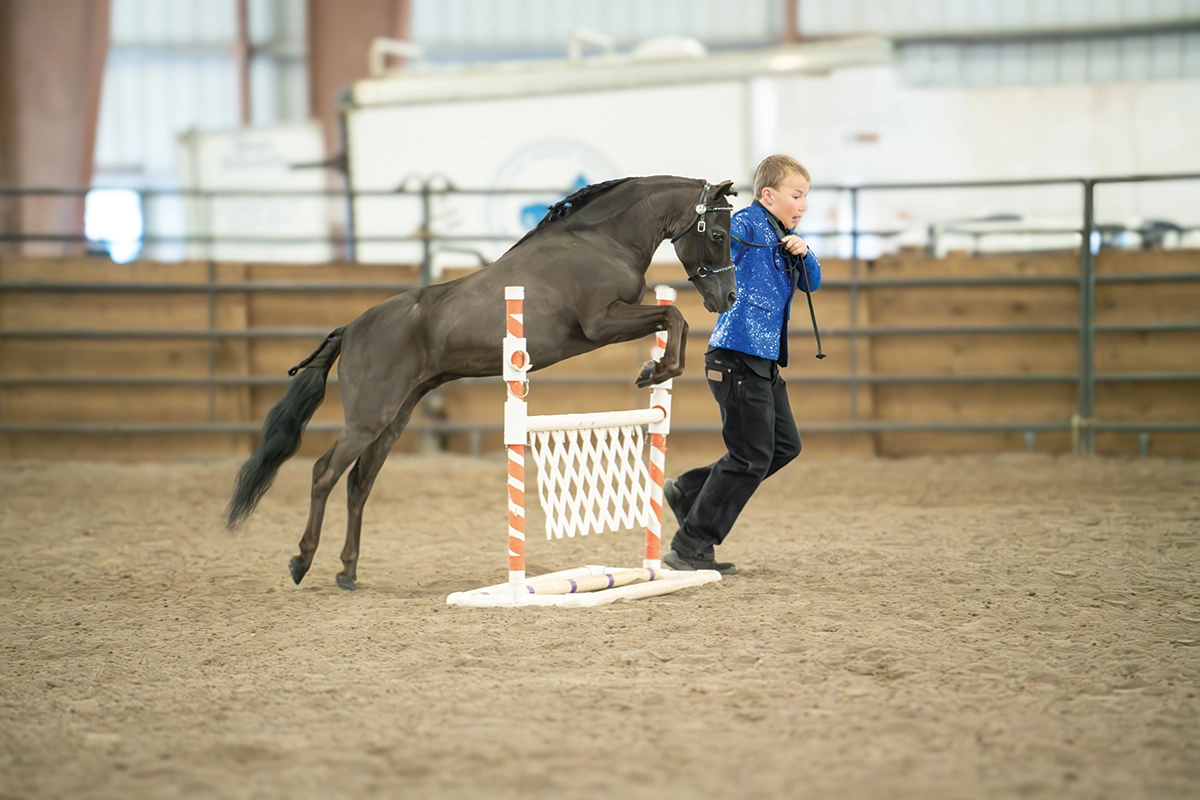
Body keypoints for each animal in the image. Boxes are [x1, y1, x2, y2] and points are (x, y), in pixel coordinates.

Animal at [225, 175, 739, 591]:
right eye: (717, 235)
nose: (728, 297)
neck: (600, 241)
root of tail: (351, 328)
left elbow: (673, 320)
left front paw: (655, 370)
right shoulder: (601, 322)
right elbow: (673, 316)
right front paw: (655, 371)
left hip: (395, 419)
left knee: (359, 483)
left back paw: (347, 572)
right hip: (368, 418)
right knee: (324, 473)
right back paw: (301, 562)